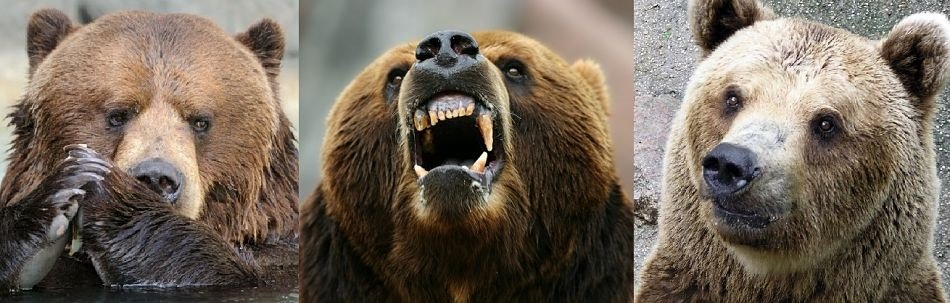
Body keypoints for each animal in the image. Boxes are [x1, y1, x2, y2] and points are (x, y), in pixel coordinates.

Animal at [0, 8, 298, 292]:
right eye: (117, 115)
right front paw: (60, 191)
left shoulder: (278, 258)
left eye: (200, 121)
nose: (156, 178)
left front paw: (113, 195)